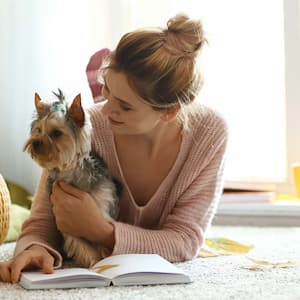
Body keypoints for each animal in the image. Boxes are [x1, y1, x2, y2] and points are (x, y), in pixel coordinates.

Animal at [22, 89, 119, 268]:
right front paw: (94, 263)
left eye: (56, 133)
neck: (69, 172)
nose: (35, 142)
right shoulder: (64, 219)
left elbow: (100, 236)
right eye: (38, 130)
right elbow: (80, 244)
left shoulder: (100, 207)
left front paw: (101, 260)